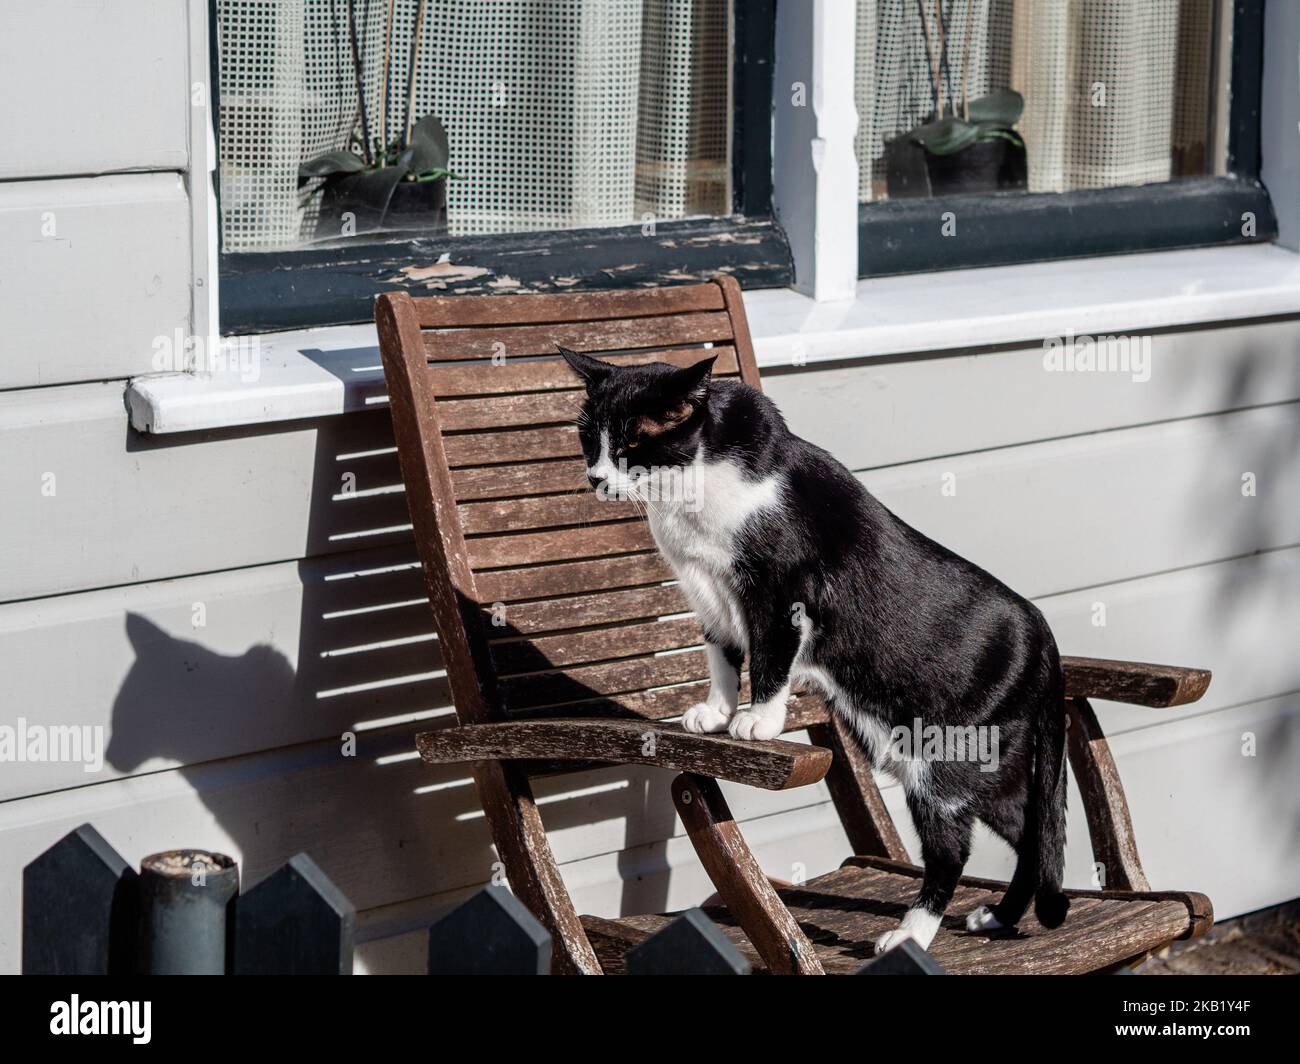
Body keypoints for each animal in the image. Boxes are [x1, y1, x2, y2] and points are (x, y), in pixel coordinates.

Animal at [564, 343, 1071, 946]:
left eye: (632, 444)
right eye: (587, 437)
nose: (596, 476)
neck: (691, 499)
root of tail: (1042, 632)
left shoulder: (780, 594)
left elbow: (769, 656)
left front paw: (758, 721)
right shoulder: (707, 592)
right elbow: (720, 656)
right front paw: (716, 713)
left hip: (943, 759)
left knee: (954, 851)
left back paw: (911, 935)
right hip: (989, 763)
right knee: (1029, 830)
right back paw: (999, 917)